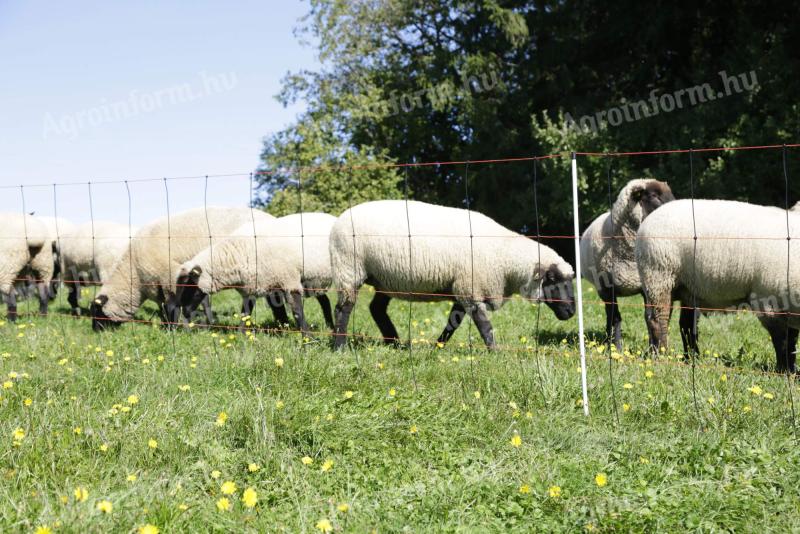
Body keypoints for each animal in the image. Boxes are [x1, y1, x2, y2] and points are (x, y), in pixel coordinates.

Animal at [90, 205, 276, 330]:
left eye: (97, 311)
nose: (95, 332)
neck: (135, 276)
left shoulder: (169, 277)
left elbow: (172, 306)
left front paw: (174, 328)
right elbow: (172, 306)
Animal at [175, 214, 338, 336]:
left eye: (192, 287)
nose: (185, 312)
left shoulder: (288, 280)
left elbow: (296, 311)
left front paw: (307, 337)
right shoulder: (256, 285)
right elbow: (246, 312)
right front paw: (241, 335)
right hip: (314, 279)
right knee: (325, 300)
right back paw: (330, 326)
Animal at [580, 178, 676, 350]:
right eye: (653, 195)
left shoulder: (647, 286)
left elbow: (649, 317)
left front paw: (651, 348)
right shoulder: (608, 288)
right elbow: (616, 318)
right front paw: (616, 348)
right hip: (602, 289)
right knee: (610, 315)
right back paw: (608, 340)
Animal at [636, 200, 800, 372]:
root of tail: (647, 221)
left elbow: (791, 340)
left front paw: (792, 370)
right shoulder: (768, 304)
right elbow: (782, 341)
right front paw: (784, 370)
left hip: (687, 288)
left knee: (685, 325)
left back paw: (692, 358)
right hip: (659, 276)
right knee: (658, 320)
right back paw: (661, 355)